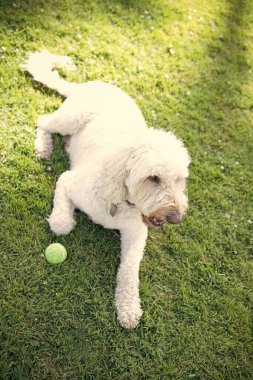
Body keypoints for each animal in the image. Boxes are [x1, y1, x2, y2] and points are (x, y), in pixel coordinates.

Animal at [24, 51, 191, 330]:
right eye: (153, 178)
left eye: (179, 179)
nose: (175, 218)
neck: (120, 201)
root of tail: (90, 84)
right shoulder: (69, 180)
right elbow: (61, 220)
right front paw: (62, 219)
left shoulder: (137, 233)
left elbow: (130, 269)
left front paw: (128, 307)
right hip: (69, 119)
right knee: (43, 122)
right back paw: (43, 146)